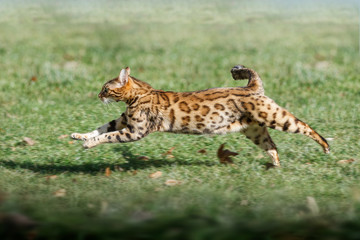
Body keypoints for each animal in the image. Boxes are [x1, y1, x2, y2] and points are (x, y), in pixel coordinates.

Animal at [71, 65, 330, 167]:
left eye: (106, 89)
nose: (98, 95)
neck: (141, 94)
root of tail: (252, 86)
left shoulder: (135, 131)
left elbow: (106, 136)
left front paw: (88, 144)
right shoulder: (123, 121)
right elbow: (99, 128)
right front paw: (78, 136)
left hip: (277, 117)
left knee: (306, 126)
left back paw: (326, 146)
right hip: (255, 130)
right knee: (273, 146)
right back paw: (275, 166)